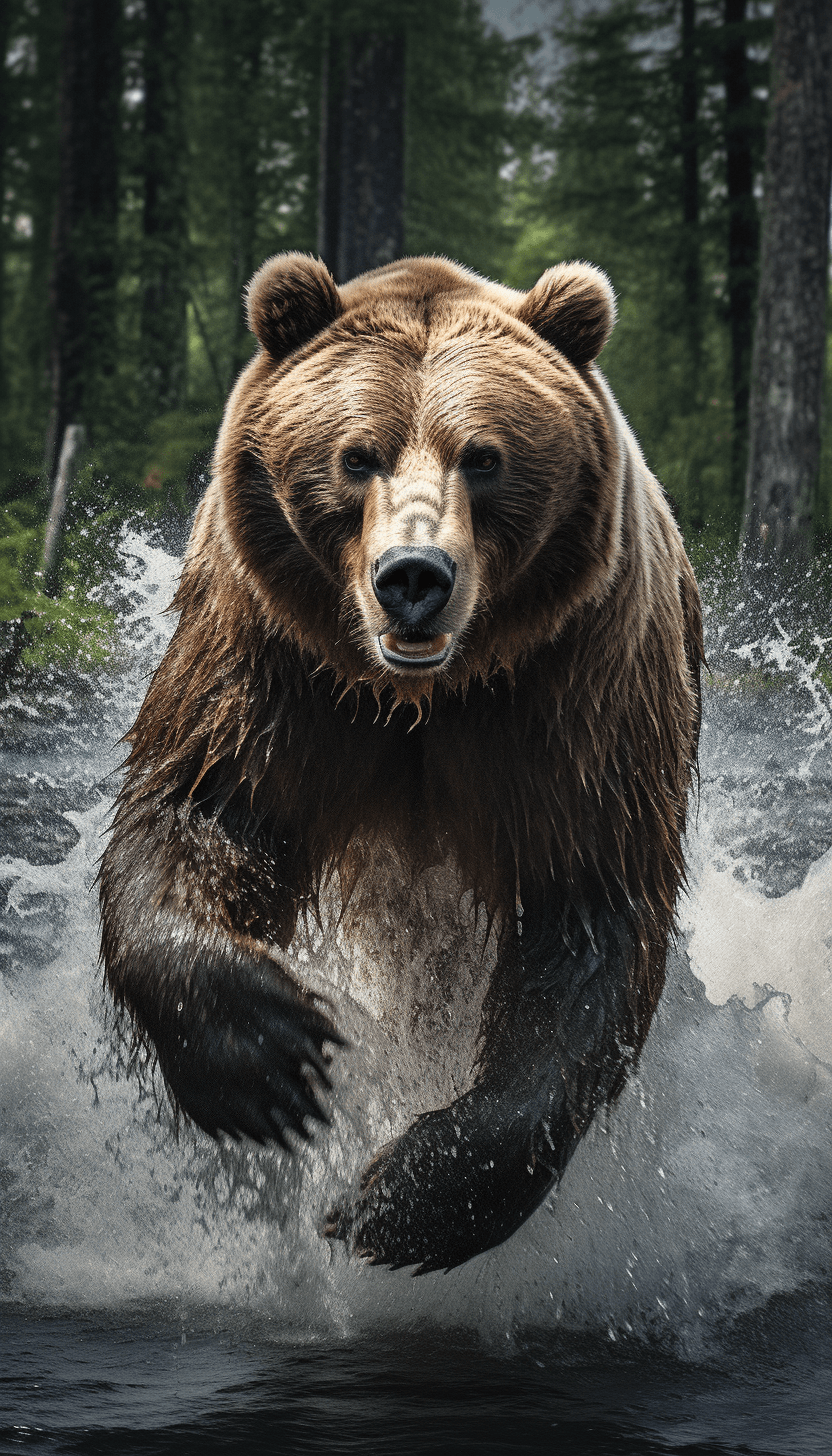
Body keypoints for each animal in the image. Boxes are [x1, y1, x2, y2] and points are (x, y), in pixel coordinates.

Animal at [99, 252, 703, 1273]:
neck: (422, 697)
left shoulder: (571, 686)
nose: (414, 577)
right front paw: (273, 1060)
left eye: (485, 457)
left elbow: (587, 908)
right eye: (357, 455)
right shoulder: (275, 659)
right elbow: (203, 809)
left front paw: (401, 1200)